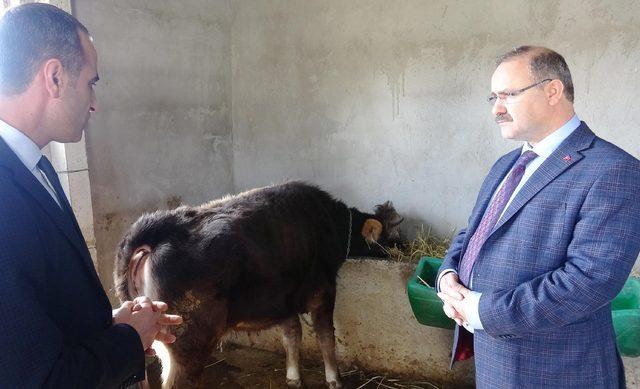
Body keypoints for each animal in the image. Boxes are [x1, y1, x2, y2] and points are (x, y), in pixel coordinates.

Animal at [113, 180, 402, 386]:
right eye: (393, 235)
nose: (404, 249)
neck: (330, 224)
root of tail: (162, 228)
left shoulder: (283, 300)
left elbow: (292, 335)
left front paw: (293, 377)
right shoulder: (323, 292)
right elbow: (325, 338)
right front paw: (334, 380)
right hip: (187, 341)